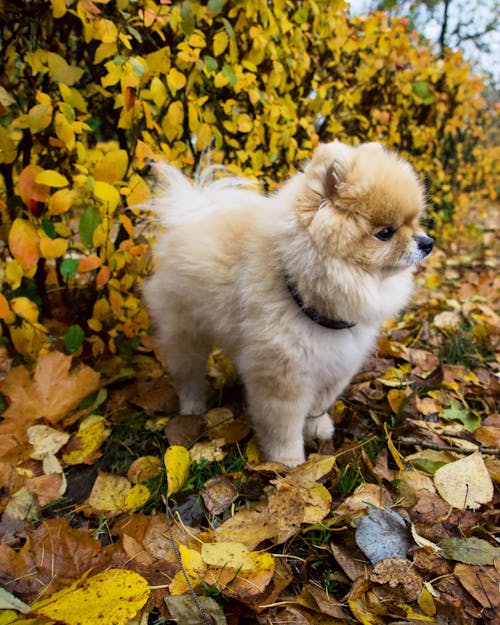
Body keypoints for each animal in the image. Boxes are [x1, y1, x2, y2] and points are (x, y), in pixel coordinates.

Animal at [143, 140, 432, 464]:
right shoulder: (283, 375)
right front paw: (288, 462)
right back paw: (192, 408)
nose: (427, 242)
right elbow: (283, 426)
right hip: (185, 330)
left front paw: (318, 428)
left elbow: (319, 403)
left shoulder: (337, 363)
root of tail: (192, 210)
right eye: (385, 233)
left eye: (414, 223)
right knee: (188, 373)